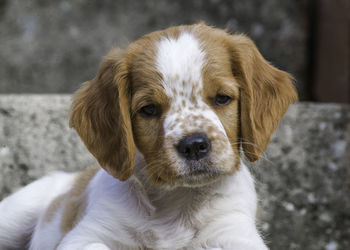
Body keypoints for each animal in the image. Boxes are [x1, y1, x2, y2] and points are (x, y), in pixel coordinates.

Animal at [0, 23, 298, 250]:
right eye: (149, 109)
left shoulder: (234, 232)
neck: (175, 202)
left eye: (222, 98)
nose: (194, 146)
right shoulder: (85, 235)